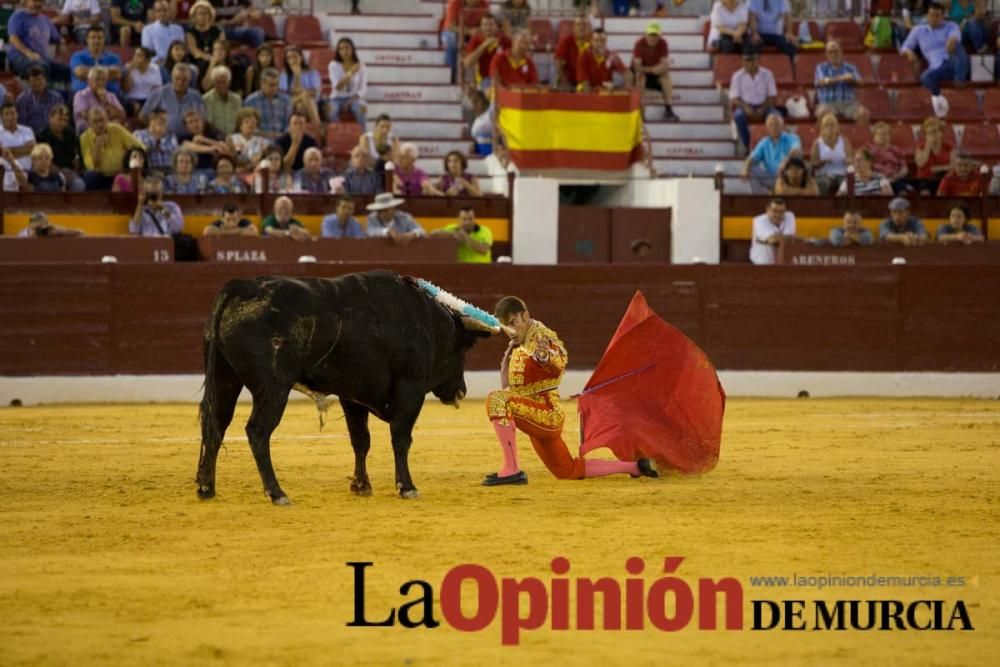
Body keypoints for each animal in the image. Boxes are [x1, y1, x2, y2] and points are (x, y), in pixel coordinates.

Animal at [195, 268, 492, 504]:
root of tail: (241, 286)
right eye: (462, 348)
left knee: (215, 425)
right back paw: (276, 492)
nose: (461, 390)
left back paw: (206, 488)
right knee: (257, 431)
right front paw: (406, 487)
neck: (426, 322)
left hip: (225, 379)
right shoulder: (410, 390)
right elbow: (400, 438)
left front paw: (361, 485)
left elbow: (360, 440)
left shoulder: (353, 395)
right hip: (273, 389)